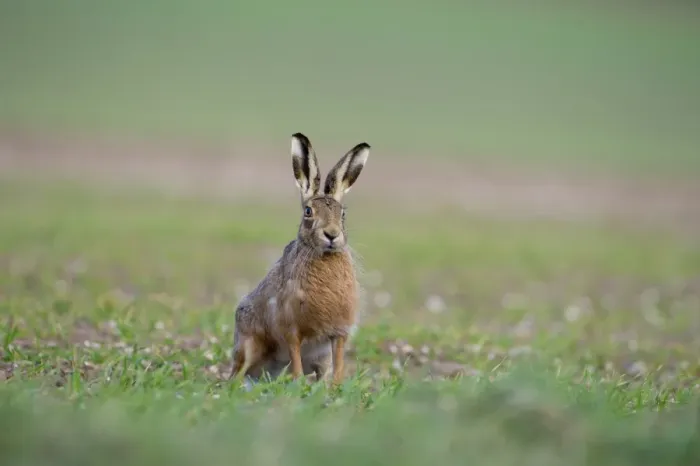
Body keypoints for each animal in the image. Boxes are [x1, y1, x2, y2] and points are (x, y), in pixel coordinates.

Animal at [230, 132, 370, 386]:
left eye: (343, 214)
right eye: (308, 212)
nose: (332, 235)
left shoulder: (338, 333)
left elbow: (338, 364)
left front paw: (336, 387)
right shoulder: (291, 330)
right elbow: (295, 361)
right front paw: (297, 385)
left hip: (319, 357)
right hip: (249, 346)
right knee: (239, 371)